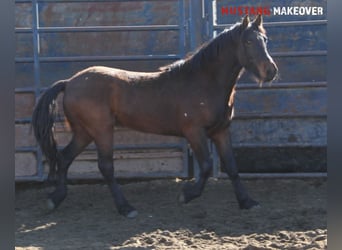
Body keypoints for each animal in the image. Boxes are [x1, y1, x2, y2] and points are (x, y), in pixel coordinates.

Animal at [32, 15, 278, 218]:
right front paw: (186, 195)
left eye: (265, 40)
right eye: (248, 42)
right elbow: (207, 166)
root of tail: (70, 82)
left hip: (84, 132)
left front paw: (247, 202)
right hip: (101, 130)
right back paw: (126, 208)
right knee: (105, 166)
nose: (271, 71)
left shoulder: (220, 131)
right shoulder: (194, 132)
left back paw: (55, 199)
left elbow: (232, 166)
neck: (203, 82)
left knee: (64, 157)